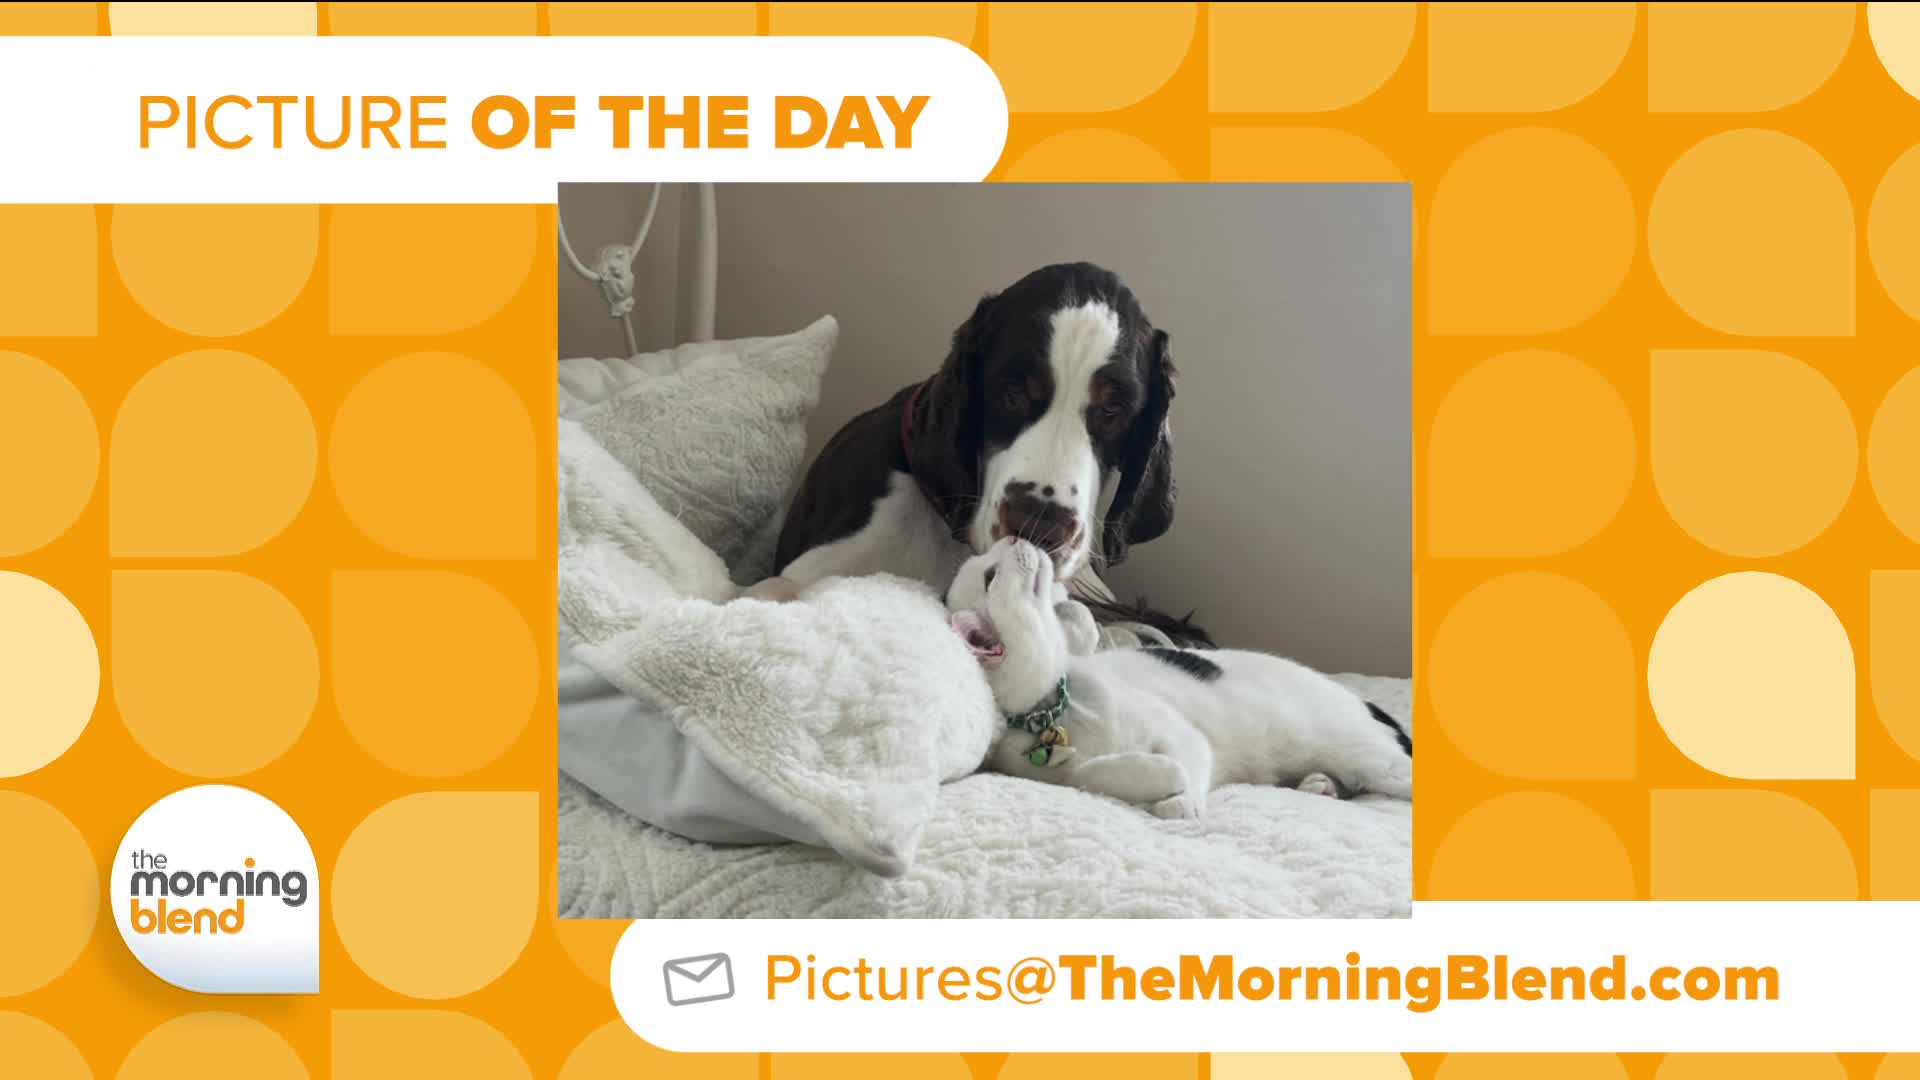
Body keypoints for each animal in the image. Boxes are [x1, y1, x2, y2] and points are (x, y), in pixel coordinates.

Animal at [946, 538, 1412, 818]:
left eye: (987, 565)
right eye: (990, 577)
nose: (1011, 537)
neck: (1055, 711)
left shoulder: (1185, 736)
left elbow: (1187, 766)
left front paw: (1182, 798)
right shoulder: (1036, 771)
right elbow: (1086, 775)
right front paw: (1147, 775)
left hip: (1370, 758)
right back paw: (1321, 785)